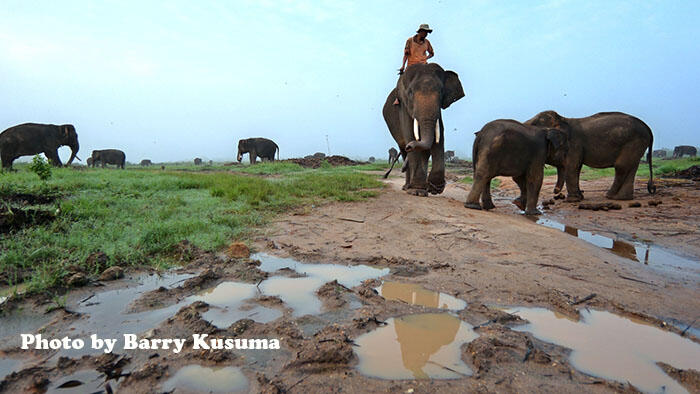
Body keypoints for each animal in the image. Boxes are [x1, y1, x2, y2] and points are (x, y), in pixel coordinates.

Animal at [382, 62, 464, 195]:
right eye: (410, 93)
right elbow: (410, 134)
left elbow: (439, 138)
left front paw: (435, 188)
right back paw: (407, 187)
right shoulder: (403, 108)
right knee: (404, 152)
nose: (409, 146)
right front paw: (417, 191)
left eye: (441, 92)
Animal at [524, 111, 656, 202]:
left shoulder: (574, 144)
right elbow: (577, 168)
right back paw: (621, 198)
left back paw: (610, 196)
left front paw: (572, 201)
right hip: (637, 145)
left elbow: (572, 167)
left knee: (621, 166)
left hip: (633, 143)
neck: (562, 119)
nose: (555, 192)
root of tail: (648, 128)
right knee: (631, 167)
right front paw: (579, 198)